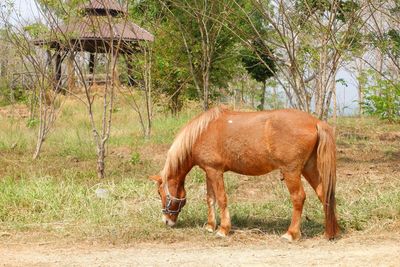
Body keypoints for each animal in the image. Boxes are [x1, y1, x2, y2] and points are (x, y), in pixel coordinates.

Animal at [148, 105, 340, 242]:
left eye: (160, 193)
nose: (166, 221)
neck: (201, 133)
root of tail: (316, 122)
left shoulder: (215, 171)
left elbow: (221, 199)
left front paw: (223, 230)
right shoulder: (209, 171)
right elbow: (210, 199)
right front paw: (210, 226)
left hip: (291, 171)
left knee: (298, 197)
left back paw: (291, 234)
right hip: (309, 168)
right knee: (324, 194)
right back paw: (329, 233)